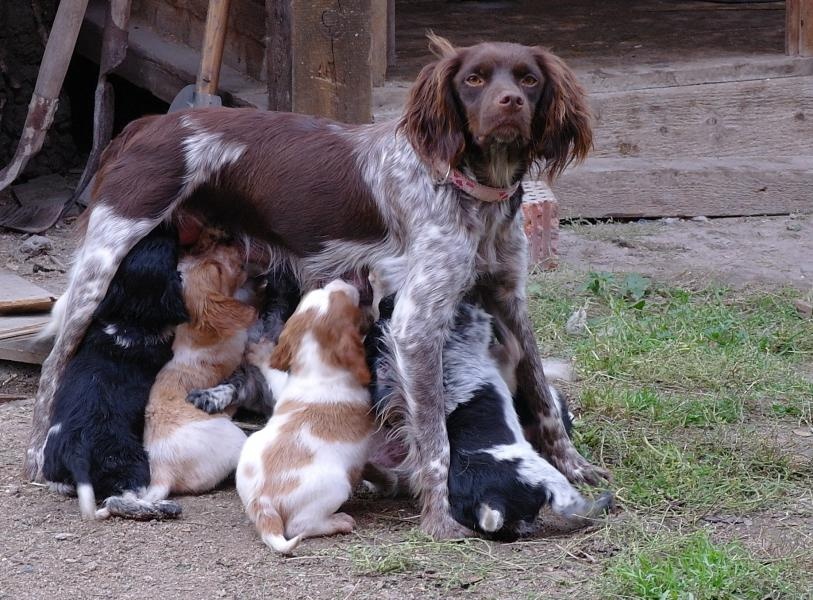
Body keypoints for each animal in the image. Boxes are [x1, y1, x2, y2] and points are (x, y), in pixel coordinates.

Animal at [42, 226, 187, 520]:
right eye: (169, 251)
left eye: (135, 247)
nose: (166, 226)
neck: (130, 318)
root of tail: (77, 449)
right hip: (133, 464)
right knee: (118, 501)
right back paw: (161, 507)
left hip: (55, 467)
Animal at [236, 280, 372, 552]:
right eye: (341, 297)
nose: (340, 281)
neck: (317, 364)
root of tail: (263, 500)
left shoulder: (284, 386)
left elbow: (273, 374)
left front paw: (261, 353)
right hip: (336, 487)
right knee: (300, 525)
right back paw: (339, 522)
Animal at [368, 296, 608, 540]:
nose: (385, 302)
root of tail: (488, 505)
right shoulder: (504, 359)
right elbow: (513, 343)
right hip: (544, 476)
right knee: (571, 505)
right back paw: (601, 504)